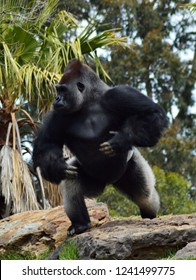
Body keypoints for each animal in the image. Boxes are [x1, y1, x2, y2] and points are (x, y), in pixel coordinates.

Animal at [33, 59, 168, 236]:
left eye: (63, 90)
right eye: (58, 90)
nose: (56, 99)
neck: (89, 101)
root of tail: (109, 182)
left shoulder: (119, 95)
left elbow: (152, 113)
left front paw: (122, 139)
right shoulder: (57, 114)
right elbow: (47, 143)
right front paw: (56, 167)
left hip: (130, 167)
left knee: (145, 196)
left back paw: (150, 215)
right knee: (71, 182)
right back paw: (80, 224)